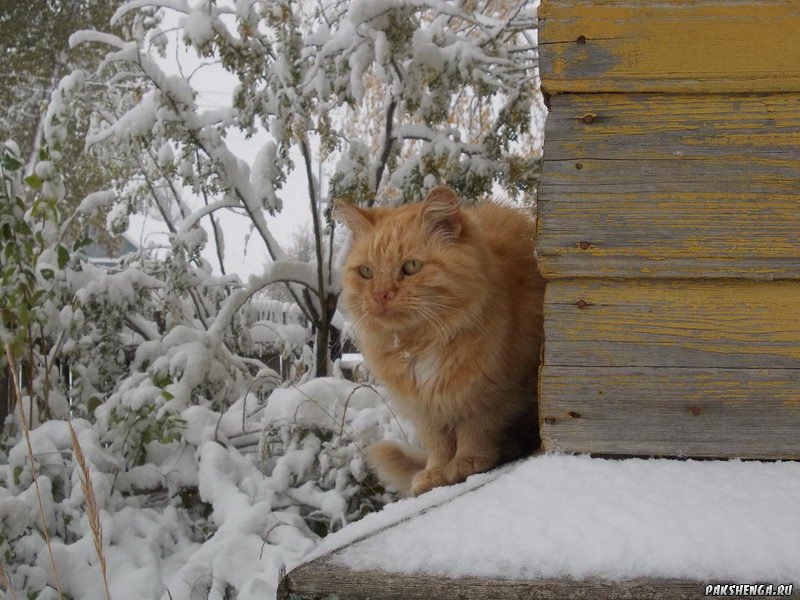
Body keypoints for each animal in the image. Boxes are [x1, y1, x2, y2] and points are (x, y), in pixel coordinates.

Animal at [334, 185, 548, 494]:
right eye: (366, 272)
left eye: (411, 267)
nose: (380, 295)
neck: (419, 344)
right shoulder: (424, 407)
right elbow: (438, 444)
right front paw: (435, 473)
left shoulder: (486, 392)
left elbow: (474, 429)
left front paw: (466, 462)